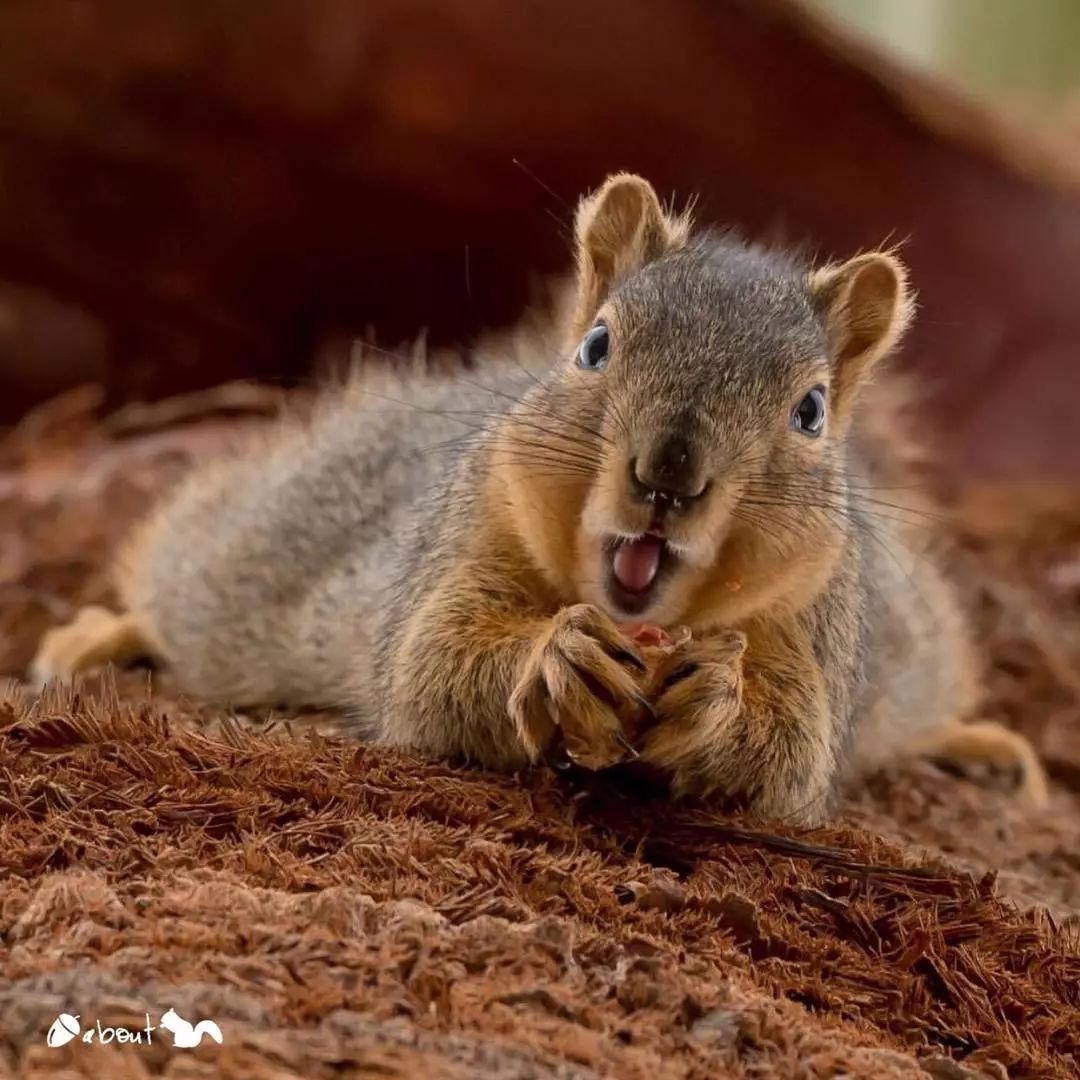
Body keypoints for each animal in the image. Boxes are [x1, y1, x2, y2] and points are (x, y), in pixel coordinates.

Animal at [35, 172, 1045, 820]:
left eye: (811, 410)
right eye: (596, 346)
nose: (667, 474)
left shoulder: (811, 628)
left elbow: (790, 756)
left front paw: (718, 696)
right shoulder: (468, 537)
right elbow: (429, 667)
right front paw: (559, 660)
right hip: (260, 552)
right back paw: (98, 635)